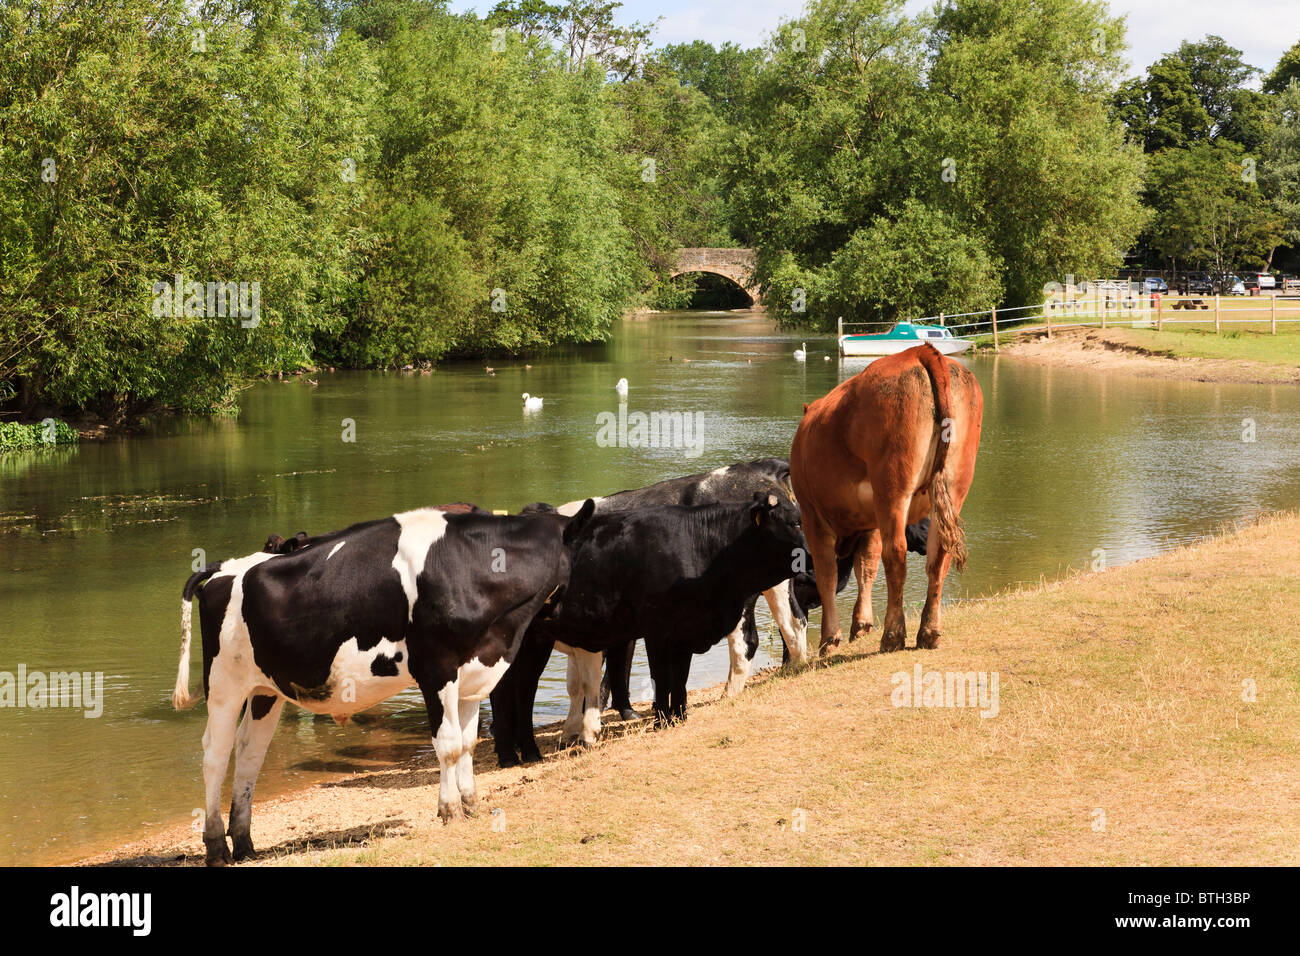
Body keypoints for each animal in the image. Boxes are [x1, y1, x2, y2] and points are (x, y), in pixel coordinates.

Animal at [172, 502, 595, 868]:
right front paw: (450, 810)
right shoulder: (436, 670)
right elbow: (448, 745)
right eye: (590, 551)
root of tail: (223, 568)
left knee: (249, 753)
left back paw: (244, 844)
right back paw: (216, 847)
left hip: (265, 690)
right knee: (215, 755)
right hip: (223, 685)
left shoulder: (475, 671)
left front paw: (470, 803)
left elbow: (468, 742)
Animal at [493, 489, 806, 764]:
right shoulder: (657, 631)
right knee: (517, 690)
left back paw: (517, 751)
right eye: (793, 522)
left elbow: (680, 677)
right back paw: (518, 753)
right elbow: (662, 677)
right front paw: (662, 720)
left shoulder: (684, 632)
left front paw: (679, 717)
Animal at [785, 345, 977, 658]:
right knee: (939, 555)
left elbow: (827, 574)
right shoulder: (871, 519)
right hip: (954, 485)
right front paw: (861, 624)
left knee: (896, 553)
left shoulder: (812, 512)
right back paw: (929, 632)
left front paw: (830, 638)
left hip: (893, 487)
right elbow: (867, 566)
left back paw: (893, 636)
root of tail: (920, 351)